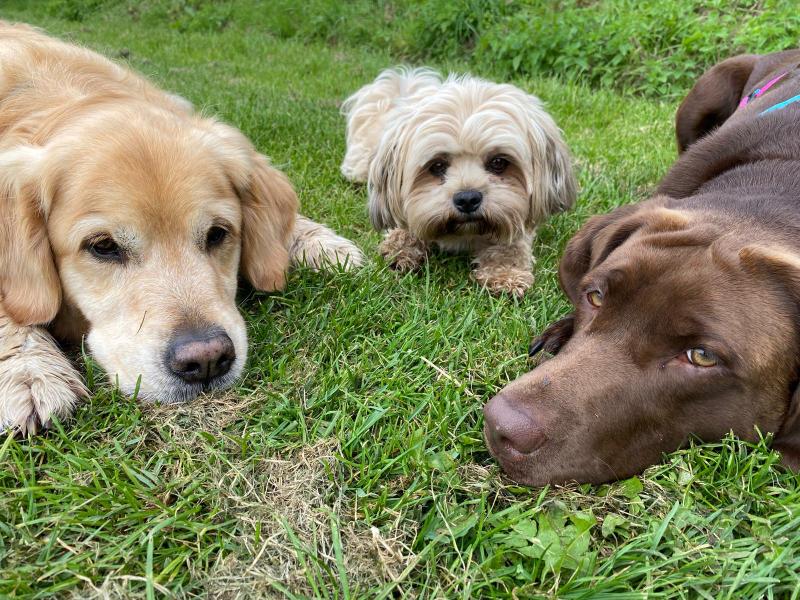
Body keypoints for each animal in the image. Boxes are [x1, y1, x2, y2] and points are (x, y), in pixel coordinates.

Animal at [340, 67, 580, 296]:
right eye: (437, 166)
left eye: (498, 162)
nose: (467, 199)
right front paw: (400, 247)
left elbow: (511, 243)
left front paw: (506, 273)